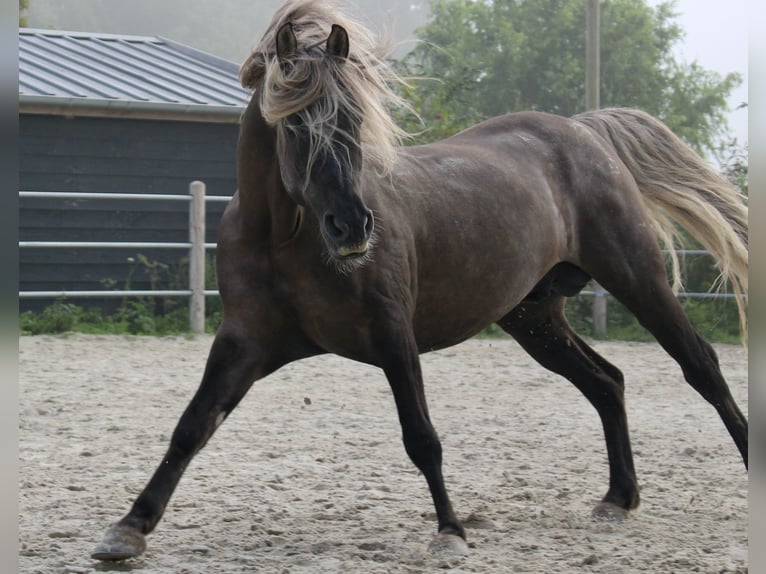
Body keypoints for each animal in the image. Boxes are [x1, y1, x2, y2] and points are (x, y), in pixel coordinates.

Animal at [93, 0, 748, 560]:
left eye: (355, 118)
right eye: (297, 124)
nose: (353, 225)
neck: (282, 237)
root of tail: (582, 131)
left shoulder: (391, 333)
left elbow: (421, 436)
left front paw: (451, 532)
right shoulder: (243, 342)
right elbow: (191, 427)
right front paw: (127, 530)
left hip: (638, 277)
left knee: (702, 366)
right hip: (534, 317)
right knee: (607, 382)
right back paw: (618, 499)